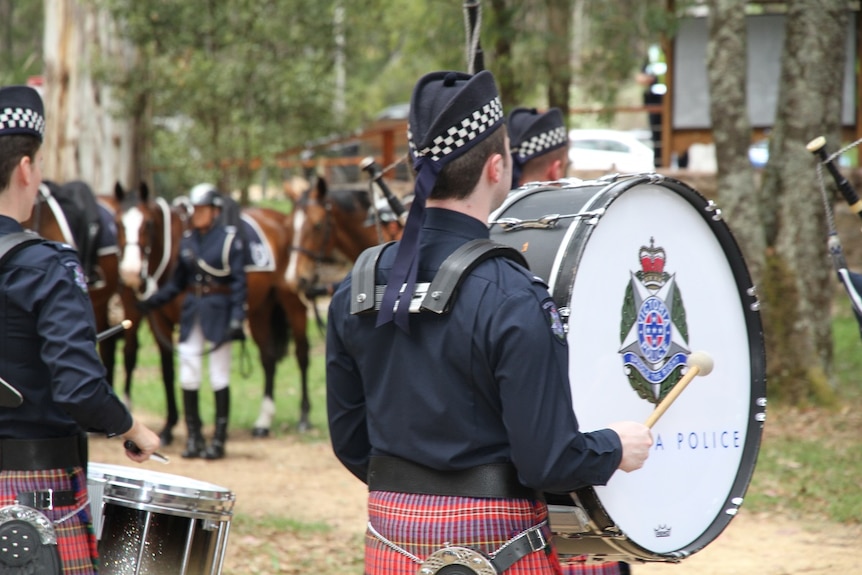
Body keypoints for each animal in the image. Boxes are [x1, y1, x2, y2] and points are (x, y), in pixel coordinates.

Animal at [116, 184, 314, 436]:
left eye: (148, 224)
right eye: (119, 222)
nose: (130, 272)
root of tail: (280, 219)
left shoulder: (189, 321)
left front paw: (195, 427)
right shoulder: (159, 320)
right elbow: (167, 370)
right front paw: (169, 425)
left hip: (292, 303)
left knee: (302, 354)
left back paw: (304, 417)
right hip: (260, 310)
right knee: (268, 357)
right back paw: (263, 420)